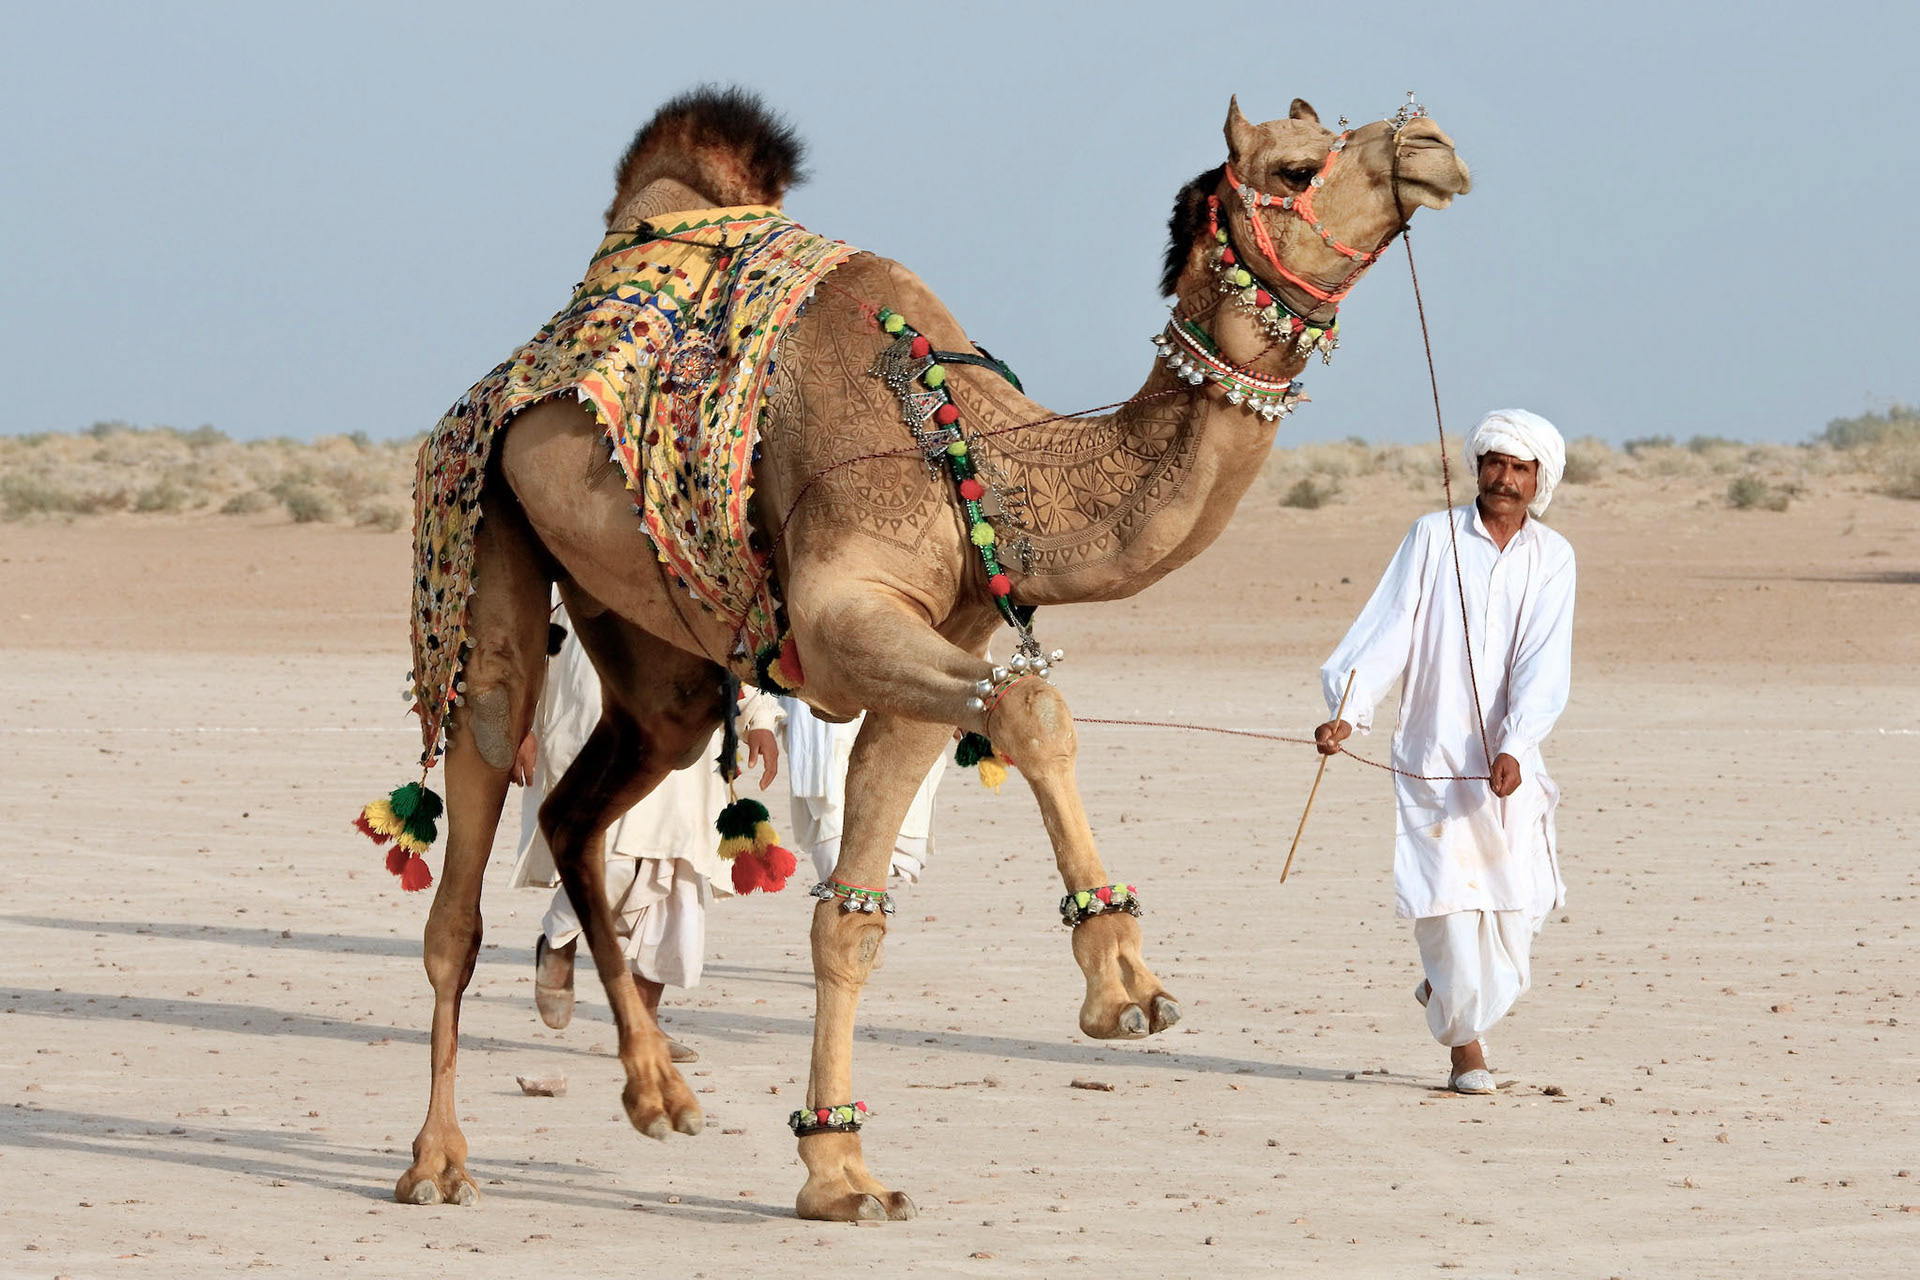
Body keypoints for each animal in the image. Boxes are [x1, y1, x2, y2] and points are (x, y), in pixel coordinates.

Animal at [386, 86, 1469, 1219]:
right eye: (1298, 166)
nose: (1429, 142)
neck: (977, 455)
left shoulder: (926, 659)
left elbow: (852, 915)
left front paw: (839, 1172)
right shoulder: (844, 623)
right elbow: (1035, 709)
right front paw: (1124, 985)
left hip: (656, 657)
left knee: (578, 807)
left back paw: (658, 1093)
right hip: (479, 527)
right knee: (468, 846)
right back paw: (438, 1160)